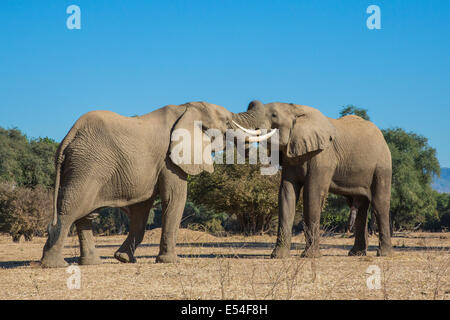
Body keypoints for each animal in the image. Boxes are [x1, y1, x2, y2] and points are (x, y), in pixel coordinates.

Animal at [39, 100, 274, 268]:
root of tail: (69, 136)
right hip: (88, 165)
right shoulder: (169, 160)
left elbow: (142, 208)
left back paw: (91, 263)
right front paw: (170, 261)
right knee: (72, 208)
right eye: (226, 122)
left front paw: (123, 259)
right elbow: (175, 198)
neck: (186, 108)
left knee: (85, 213)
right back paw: (54, 265)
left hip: (81, 165)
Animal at [237, 101, 392, 258]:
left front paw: (309, 256)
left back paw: (383, 254)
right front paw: (278, 256)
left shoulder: (323, 155)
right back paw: (356, 253)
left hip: (382, 165)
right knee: (359, 206)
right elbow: (287, 195)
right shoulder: (290, 156)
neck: (296, 109)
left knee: (379, 203)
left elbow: (312, 193)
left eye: (274, 115)